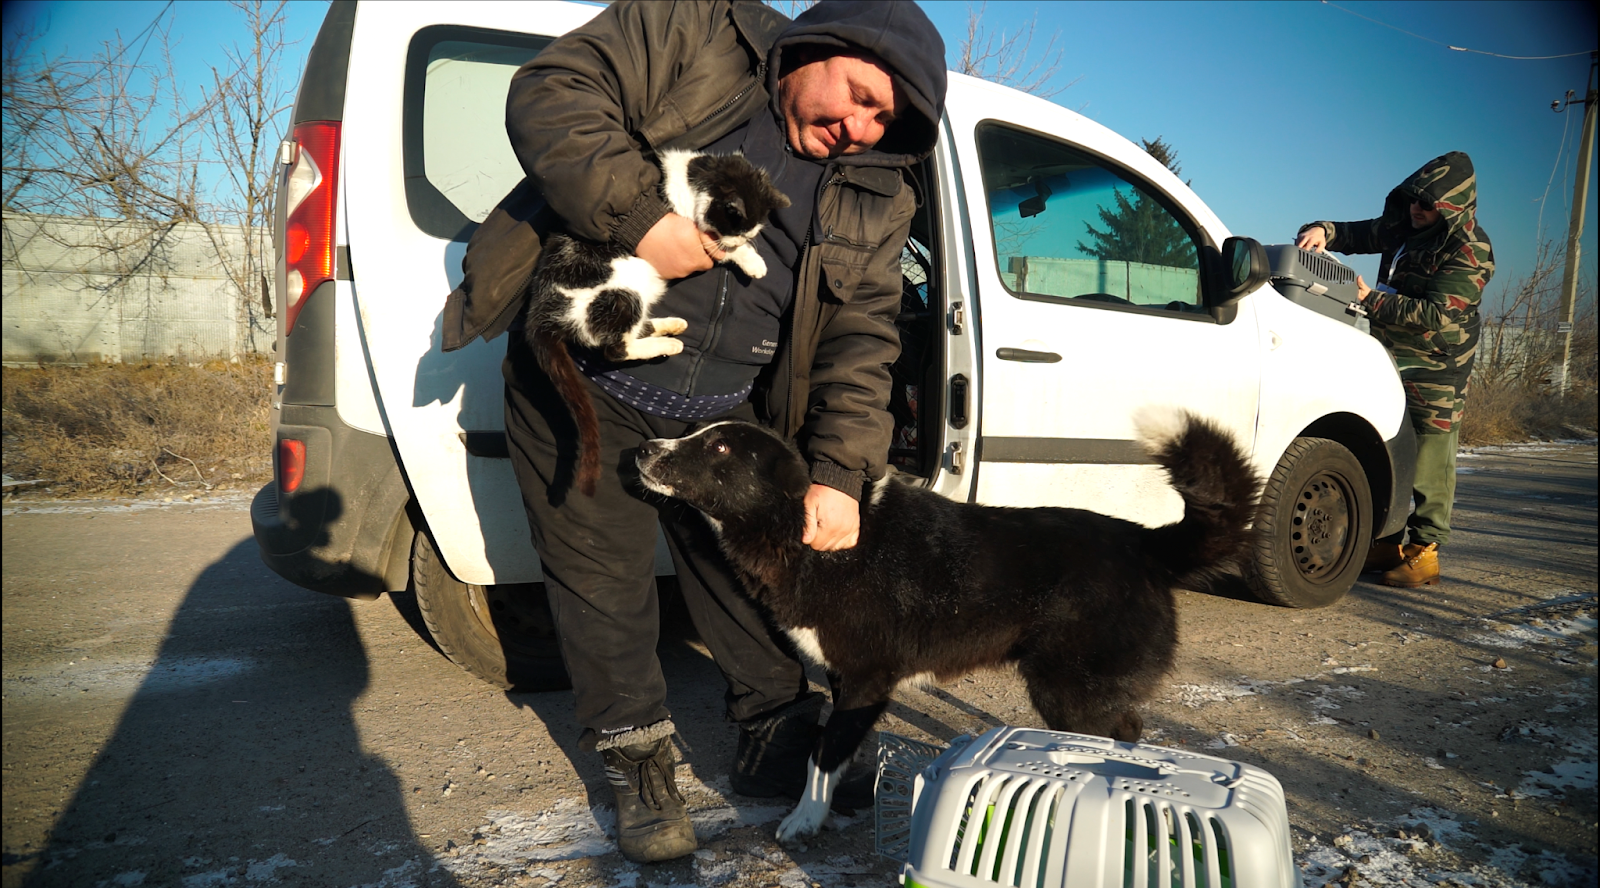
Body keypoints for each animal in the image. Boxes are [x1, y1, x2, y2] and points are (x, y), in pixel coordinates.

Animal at [528, 152, 790, 496]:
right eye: (737, 231)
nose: (738, 243)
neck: (696, 177)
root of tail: (542, 310)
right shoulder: (697, 234)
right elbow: (717, 249)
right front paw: (750, 260)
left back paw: (671, 329)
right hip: (626, 285)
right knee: (615, 348)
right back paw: (665, 342)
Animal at [630, 406, 1254, 844]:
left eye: (720, 447)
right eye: (697, 433)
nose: (642, 448)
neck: (800, 526)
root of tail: (1143, 541)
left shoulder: (865, 681)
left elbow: (822, 754)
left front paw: (807, 817)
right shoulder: (846, 680)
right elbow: (827, 745)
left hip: (1070, 690)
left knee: (1115, 735)